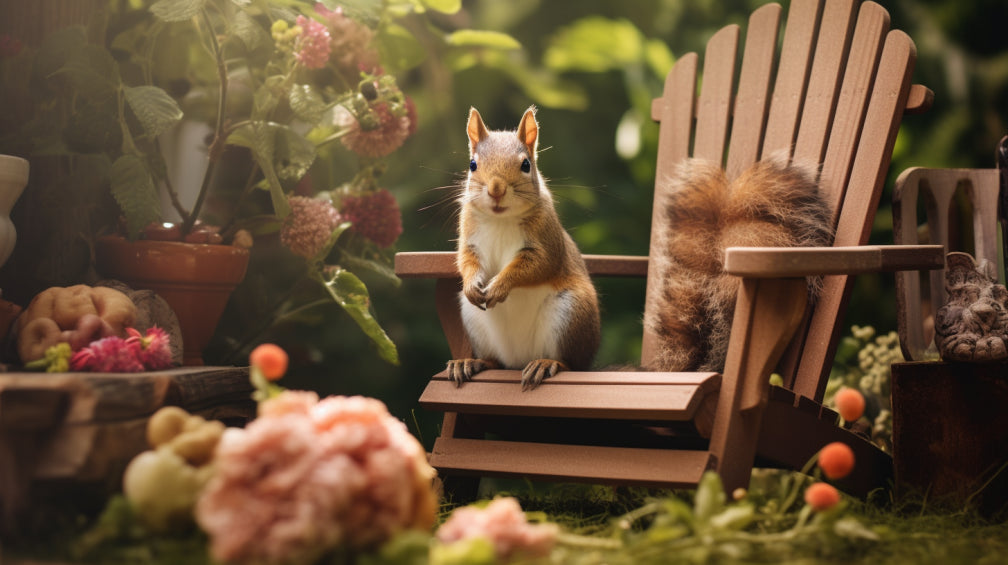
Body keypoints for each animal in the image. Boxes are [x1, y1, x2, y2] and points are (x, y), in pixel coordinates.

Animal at [449, 106, 601, 390]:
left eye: (526, 165)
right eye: (472, 165)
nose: (496, 189)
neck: (500, 218)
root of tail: (519, 359)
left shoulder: (546, 244)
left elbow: (537, 265)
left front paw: (499, 286)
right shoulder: (470, 238)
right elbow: (466, 260)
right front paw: (472, 284)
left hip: (570, 313)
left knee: (572, 364)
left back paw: (548, 363)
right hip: (473, 319)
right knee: (494, 361)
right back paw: (472, 362)